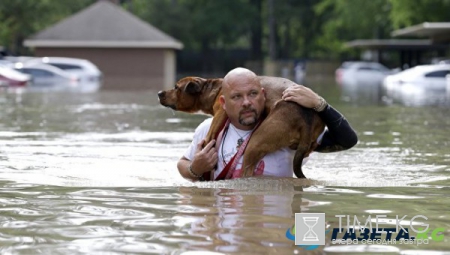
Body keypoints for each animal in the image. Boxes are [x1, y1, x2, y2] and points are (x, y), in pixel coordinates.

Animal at [158, 76, 324, 178]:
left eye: (176, 87)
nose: (159, 92)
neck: (213, 88)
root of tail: (306, 118)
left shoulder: (220, 114)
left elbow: (209, 136)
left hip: (256, 143)